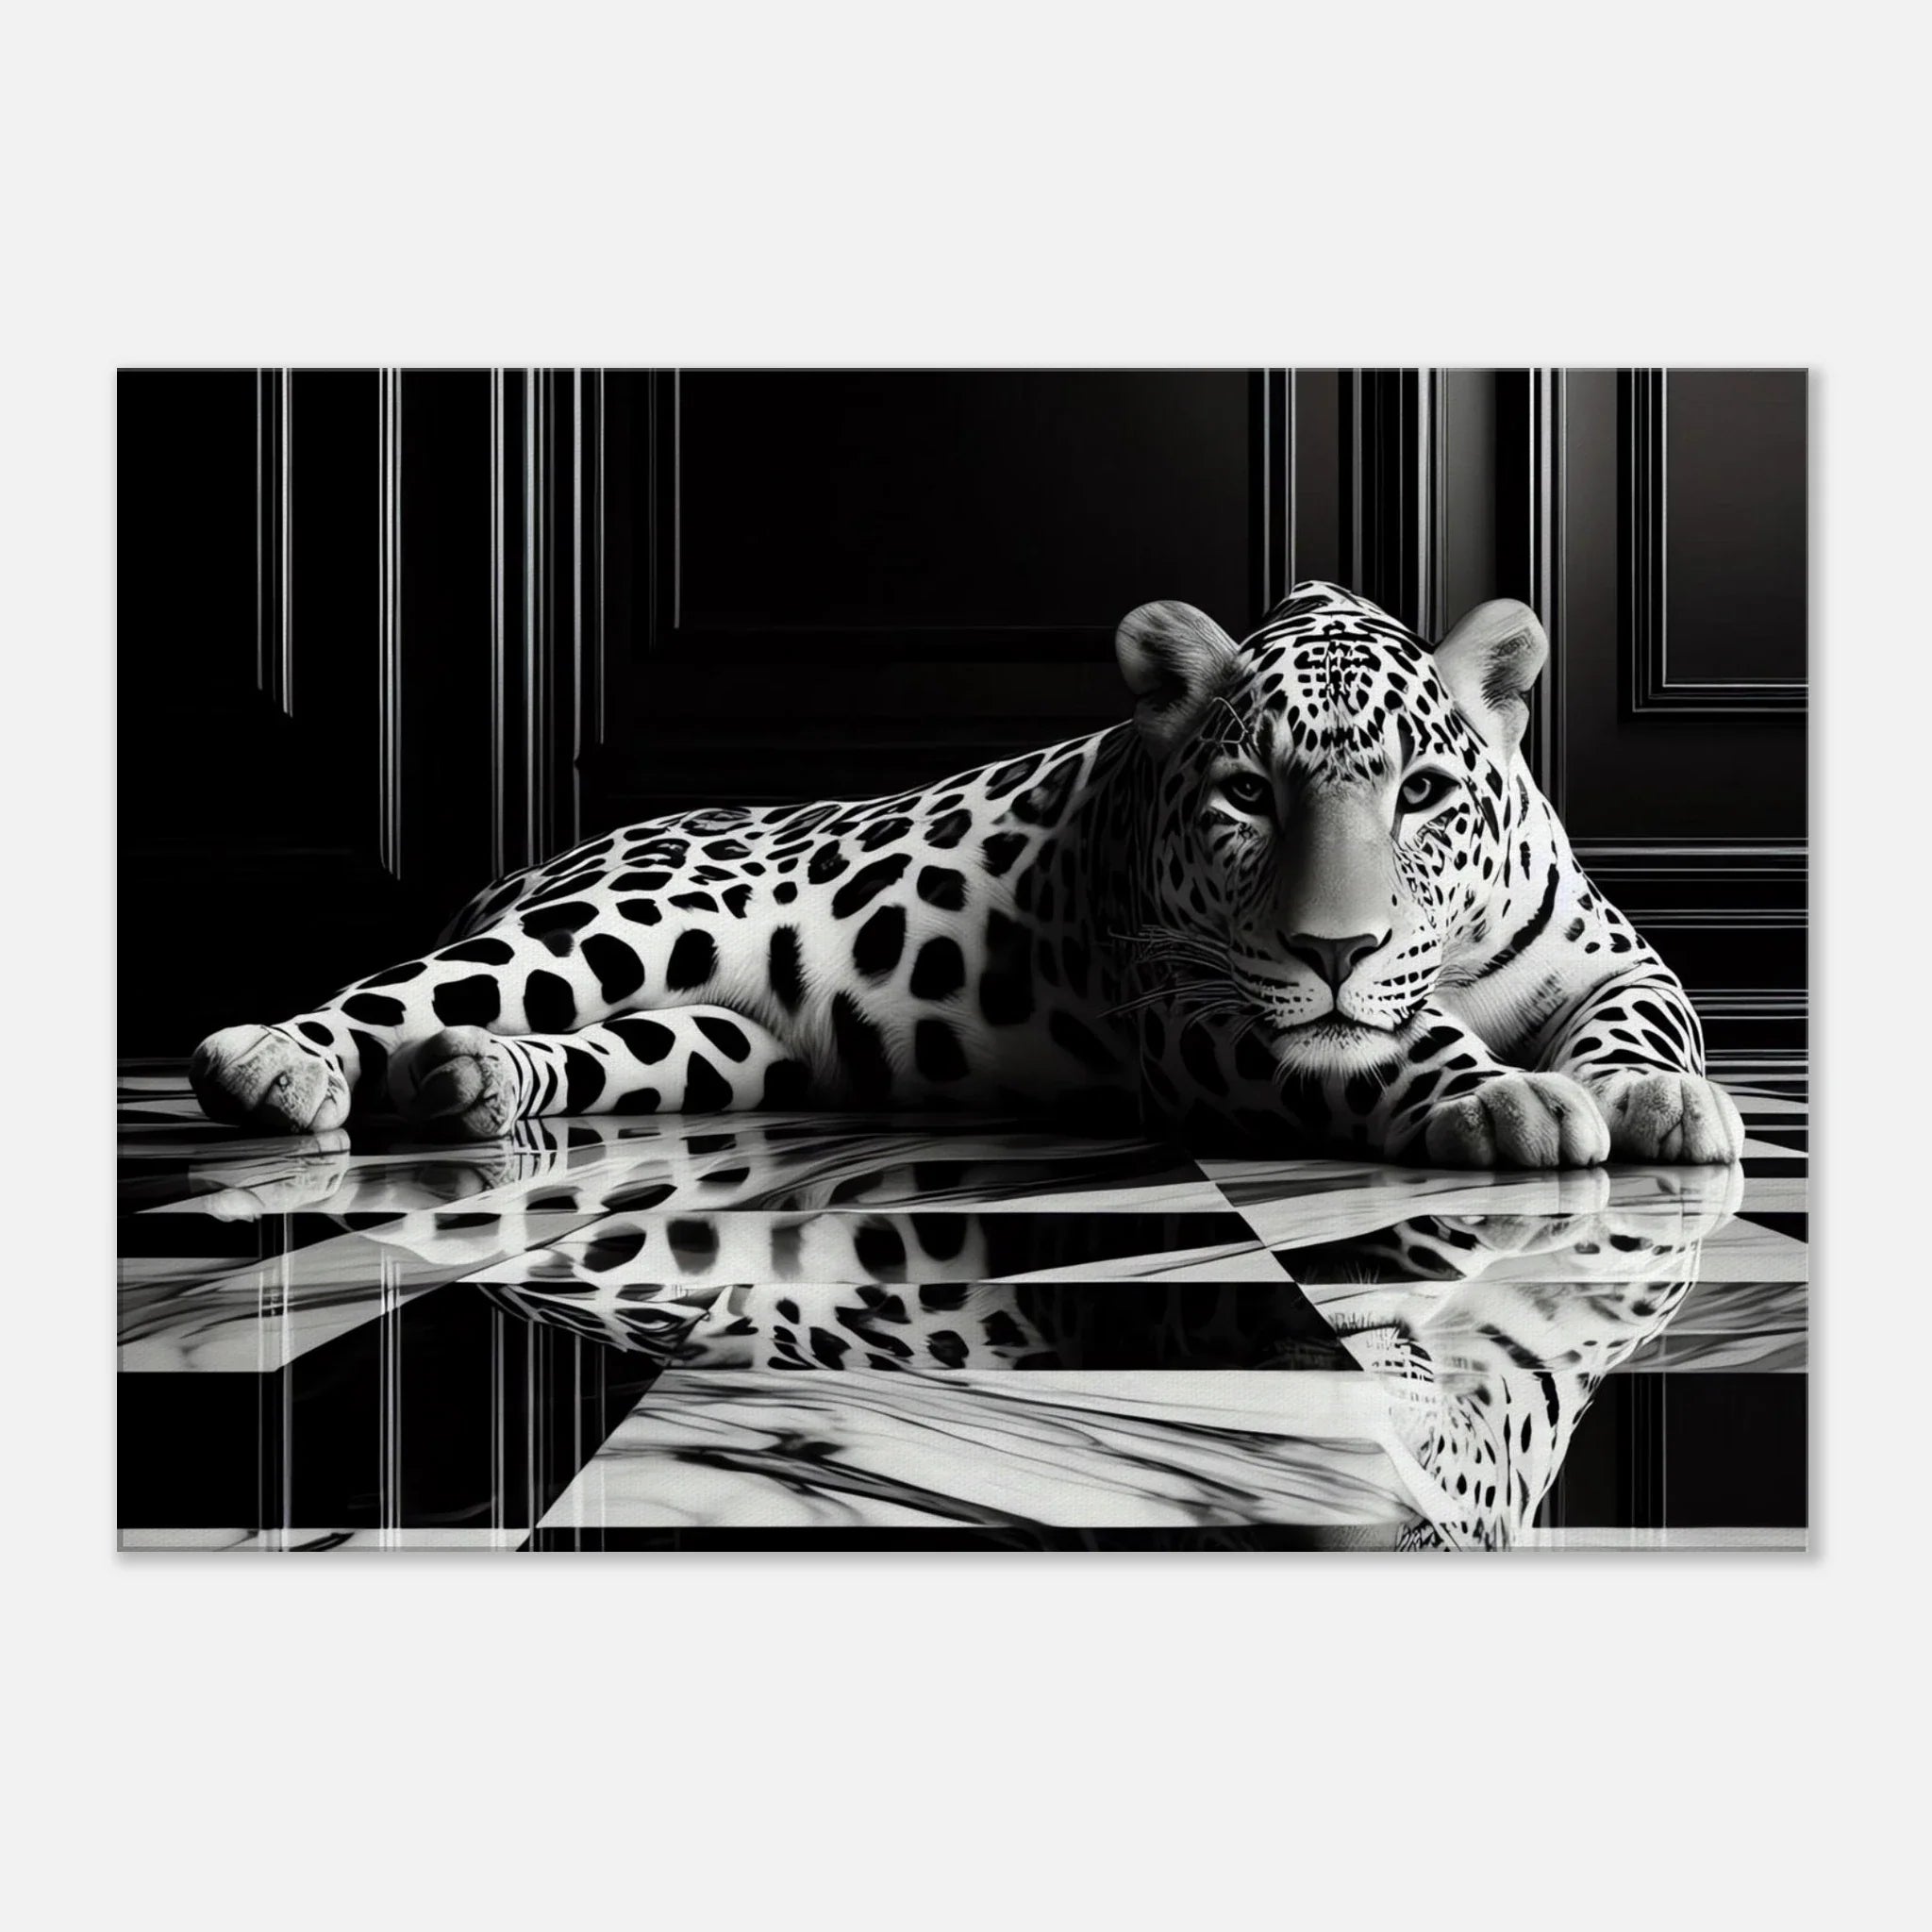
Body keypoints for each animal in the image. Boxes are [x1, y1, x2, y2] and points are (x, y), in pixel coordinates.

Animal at [190, 581, 1741, 1168]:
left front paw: (1655, 1096)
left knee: (573, 1044)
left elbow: (1644, 1017)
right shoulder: (1207, 1012)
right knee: (416, 986)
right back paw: (276, 1063)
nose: (1334, 949)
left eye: (1421, 794)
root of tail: (544, 854)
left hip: (722, 1045)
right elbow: (1392, 1042)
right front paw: (1505, 1100)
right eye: (1248, 793)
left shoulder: (1610, 950)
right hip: (634, 920)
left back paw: (475, 1081)